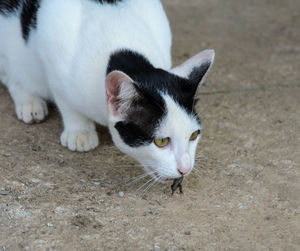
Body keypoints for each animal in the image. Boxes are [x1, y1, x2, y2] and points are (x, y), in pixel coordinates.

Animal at [0, 0, 216, 180]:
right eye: (161, 141)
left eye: (194, 135)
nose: (185, 169)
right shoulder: (52, 57)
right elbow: (65, 100)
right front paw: (80, 130)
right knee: (11, 72)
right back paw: (29, 101)